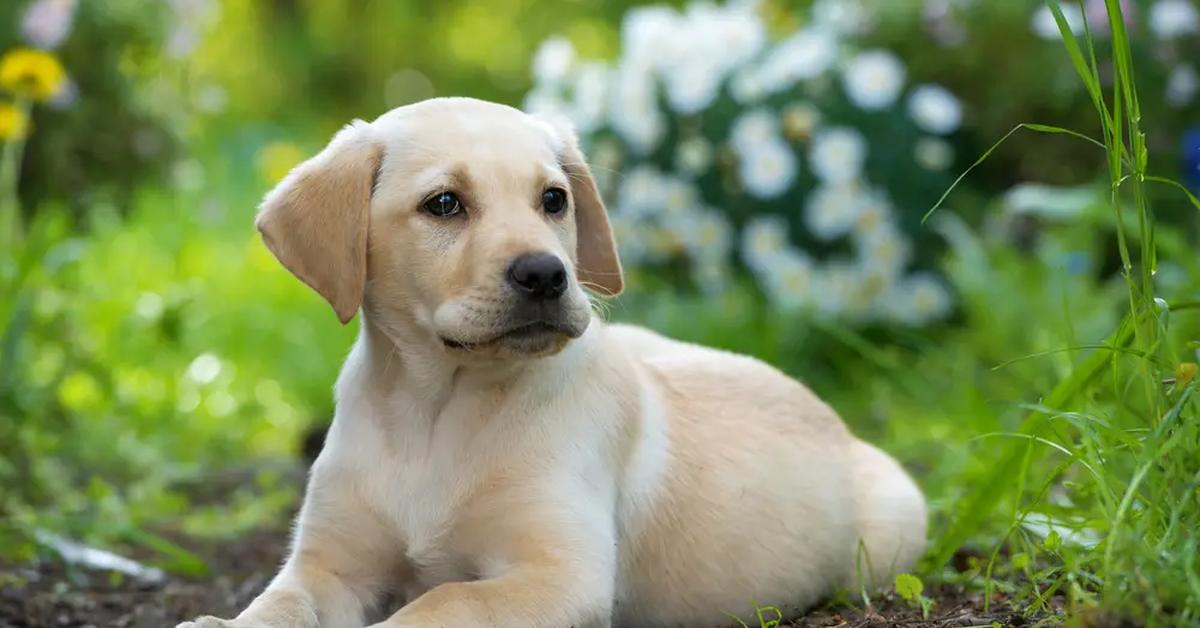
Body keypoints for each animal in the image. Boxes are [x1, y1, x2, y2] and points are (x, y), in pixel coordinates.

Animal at [177, 98, 926, 628]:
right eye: (443, 204)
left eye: (553, 200)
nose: (546, 274)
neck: (435, 408)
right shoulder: (328, 566)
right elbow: (279, 603)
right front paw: (223, 623)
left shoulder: (559, 575)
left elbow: (442, 603)